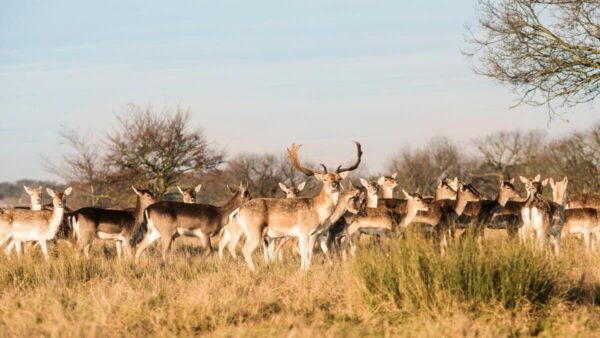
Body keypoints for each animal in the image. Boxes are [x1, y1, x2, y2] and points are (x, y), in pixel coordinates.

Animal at [237, 141, 364, 270]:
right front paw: (305, 270)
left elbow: (313, 251)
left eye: (339, 178)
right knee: (246, 250)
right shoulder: (304, 231)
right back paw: (255, 271)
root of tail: (239, 212)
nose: (334, 184)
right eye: (324, 179)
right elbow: (306, 252)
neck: (317, 210)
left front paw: (305, 269)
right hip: (255, 231)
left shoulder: (315, 233)